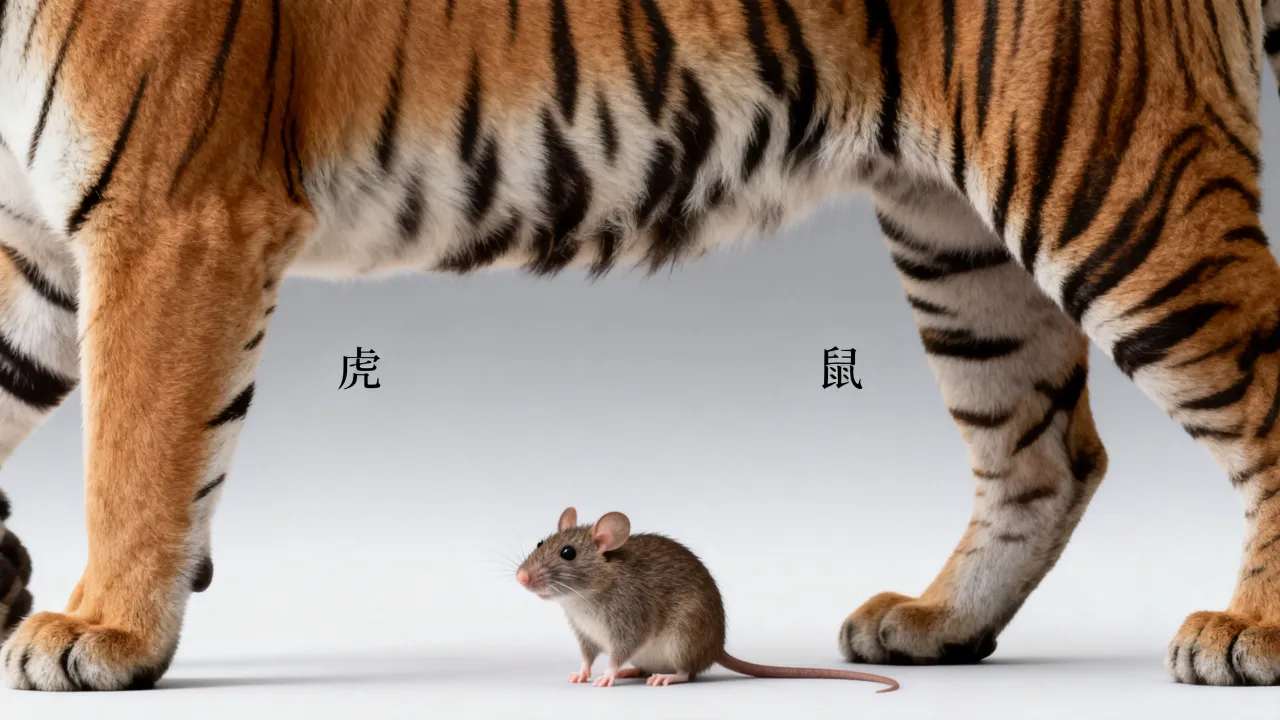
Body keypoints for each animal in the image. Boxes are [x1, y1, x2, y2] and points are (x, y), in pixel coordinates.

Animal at [0, 0, 1279, 693]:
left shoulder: (170, 213)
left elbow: (135, 455)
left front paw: (101, 631)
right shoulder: (33, 237)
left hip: (1113, 180)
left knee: (1252, 383)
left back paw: (1246, 632)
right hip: (952, 234)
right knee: (1044, 451)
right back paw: (934, 623)